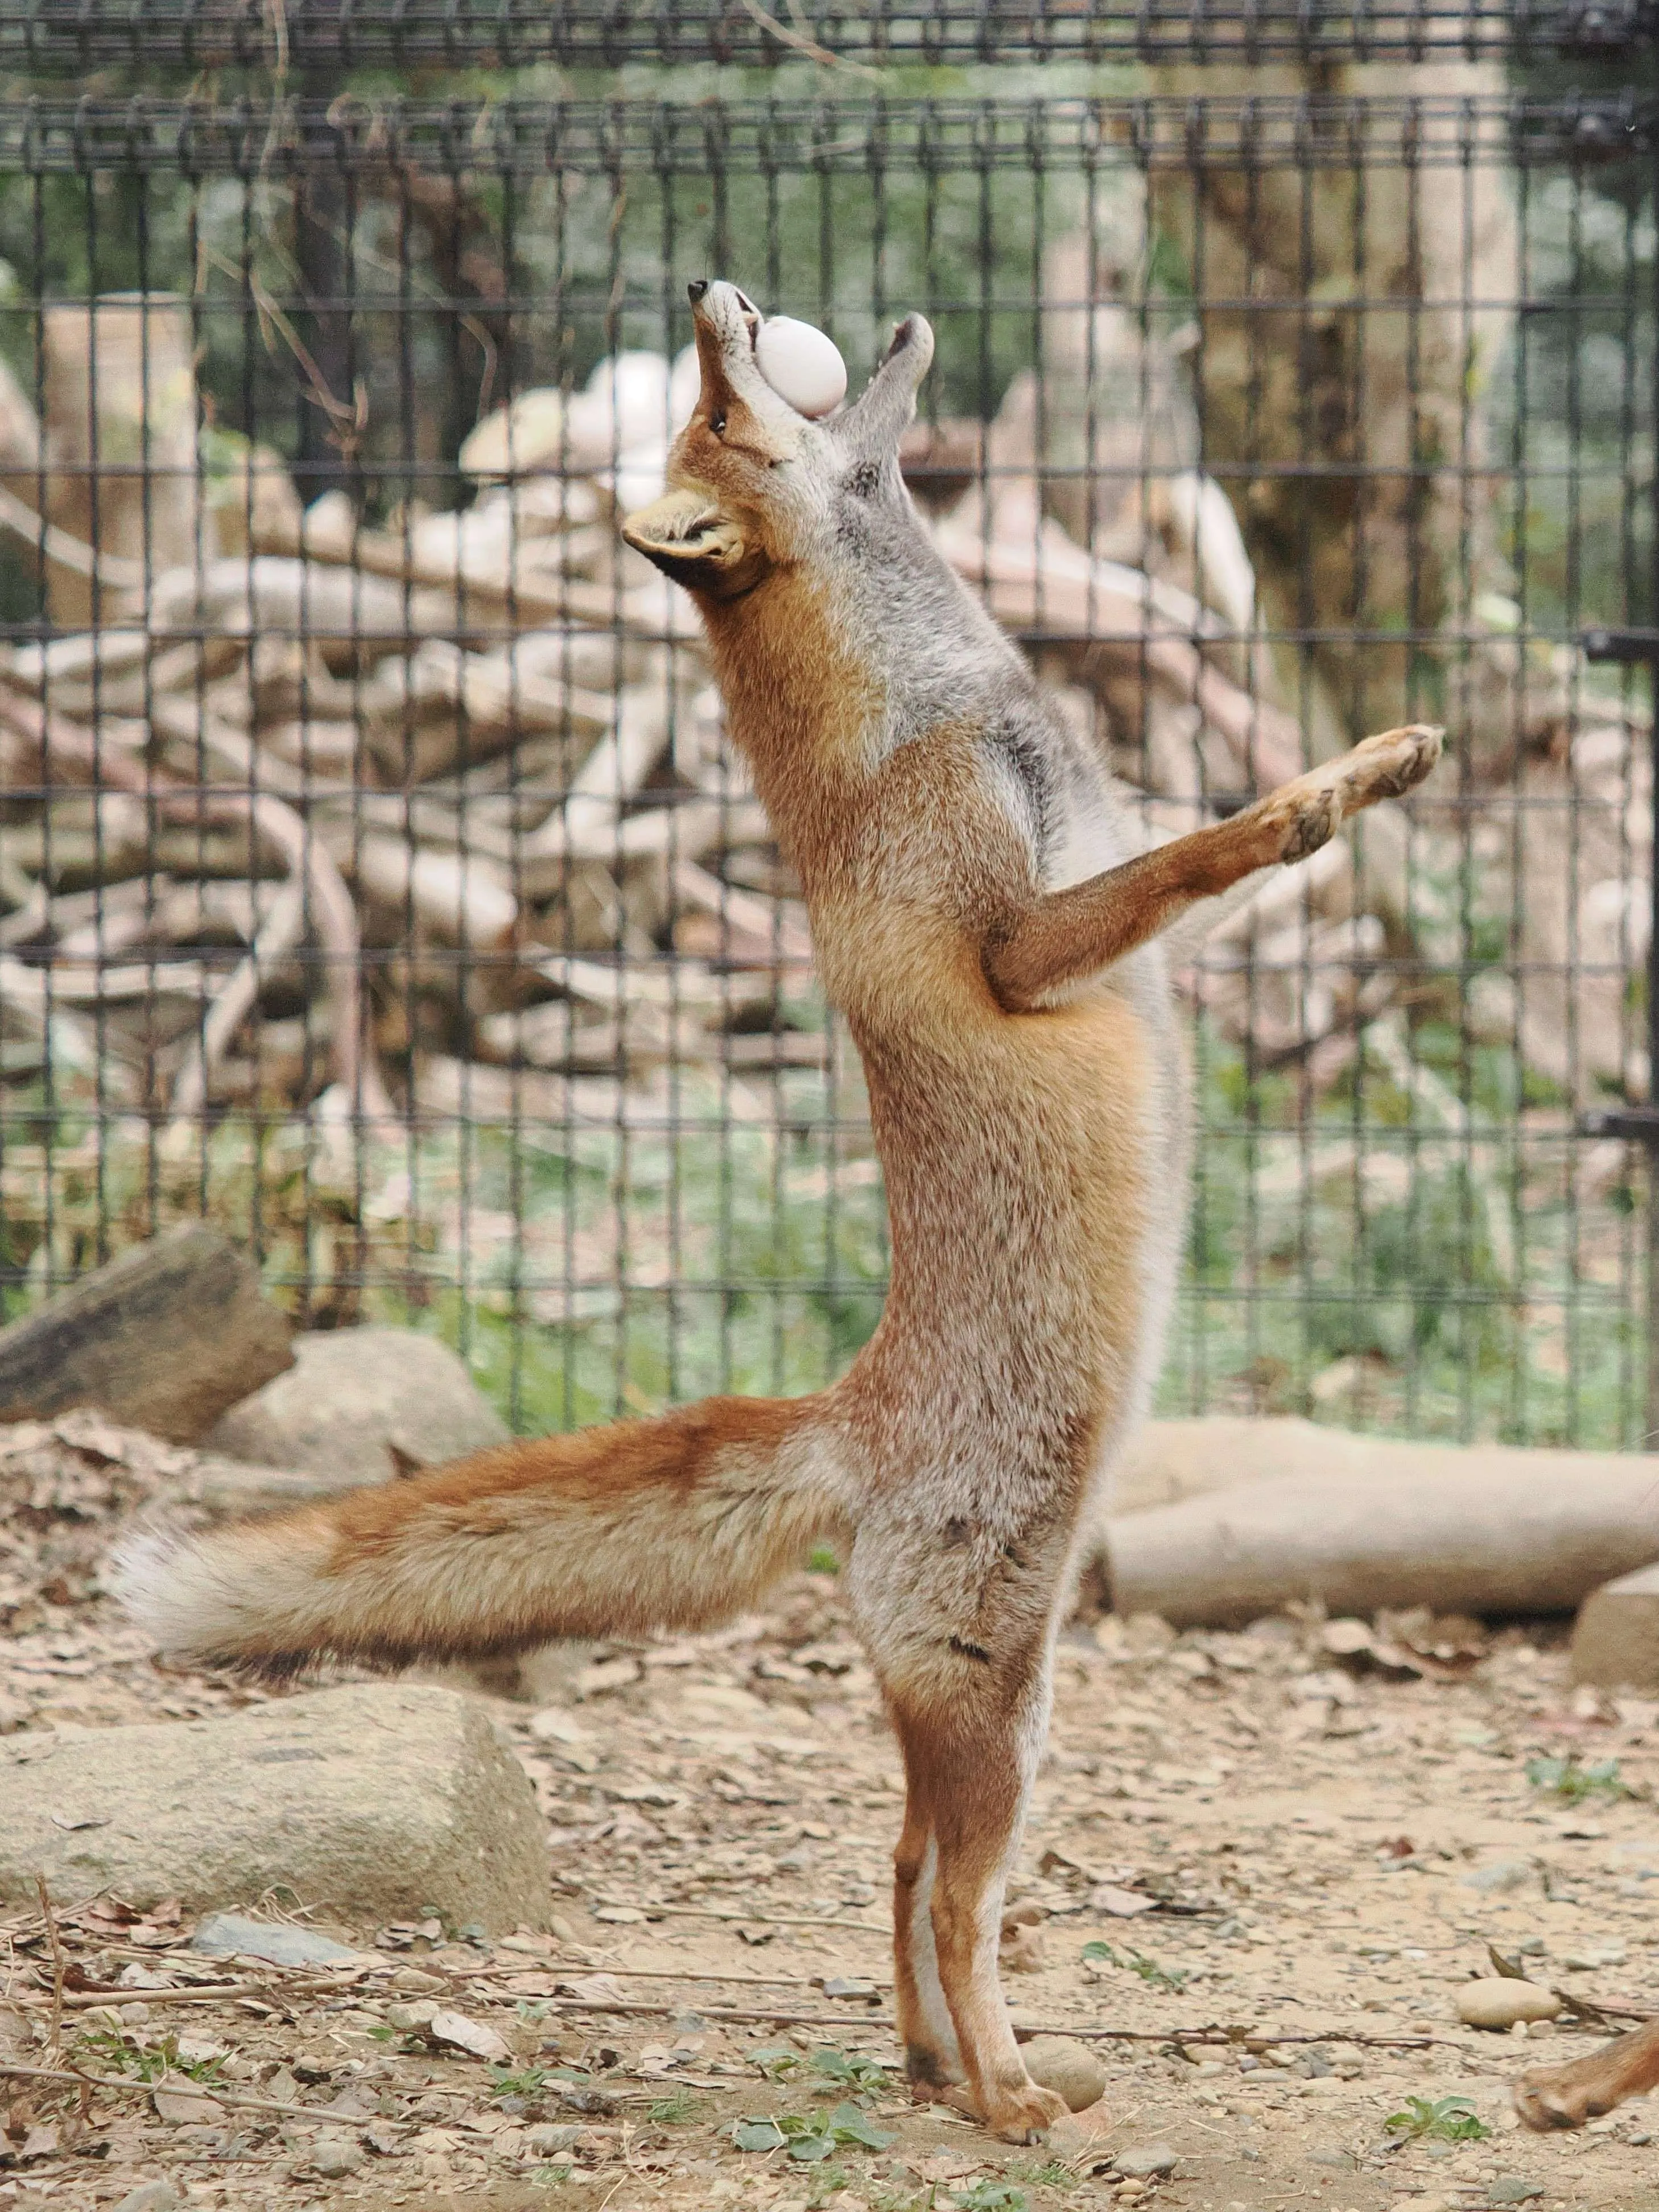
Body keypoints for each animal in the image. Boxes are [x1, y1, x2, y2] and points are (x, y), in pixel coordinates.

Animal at [116, 278, 1443, 2144]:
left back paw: (940, 2069)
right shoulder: (1018, 939)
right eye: (719, 410)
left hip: (1011, 1702)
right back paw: (1003, 2097)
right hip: (999, 1700)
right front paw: (1303, 808)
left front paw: (1382, 769)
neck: (933, 709)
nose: (713, 293)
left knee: (893, 1874)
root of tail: (851, 1408)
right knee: (947, 1899)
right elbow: (1195, 856)